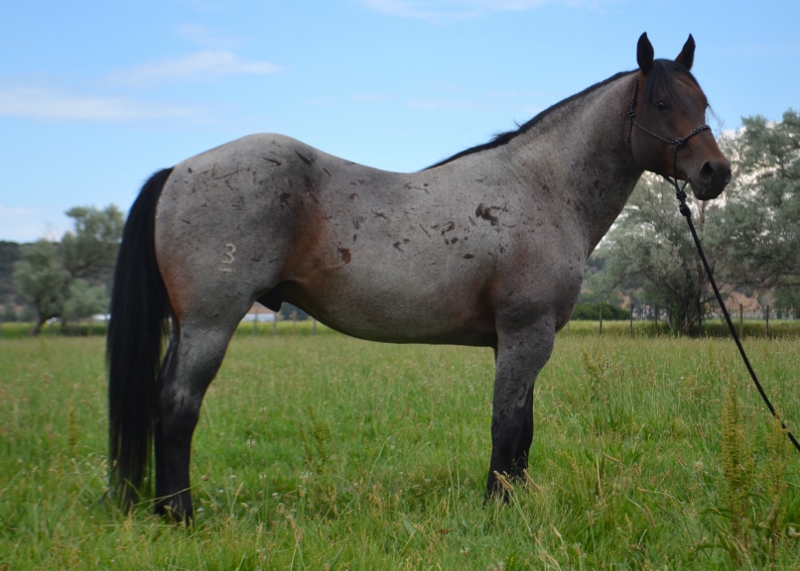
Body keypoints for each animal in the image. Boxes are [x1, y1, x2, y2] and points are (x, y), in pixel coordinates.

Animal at [108, 33, 732, 520]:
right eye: (660, 101)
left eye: (702, 100)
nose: (715, 172)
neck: (543, 187)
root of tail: (180, 170)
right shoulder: (526, 334)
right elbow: (507, 428)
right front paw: (495, 512)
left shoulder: (519, 340)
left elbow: (524, 430)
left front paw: (514, 504)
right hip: (211, 321)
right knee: (179, 405)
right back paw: (182, 516)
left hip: (189, 324)